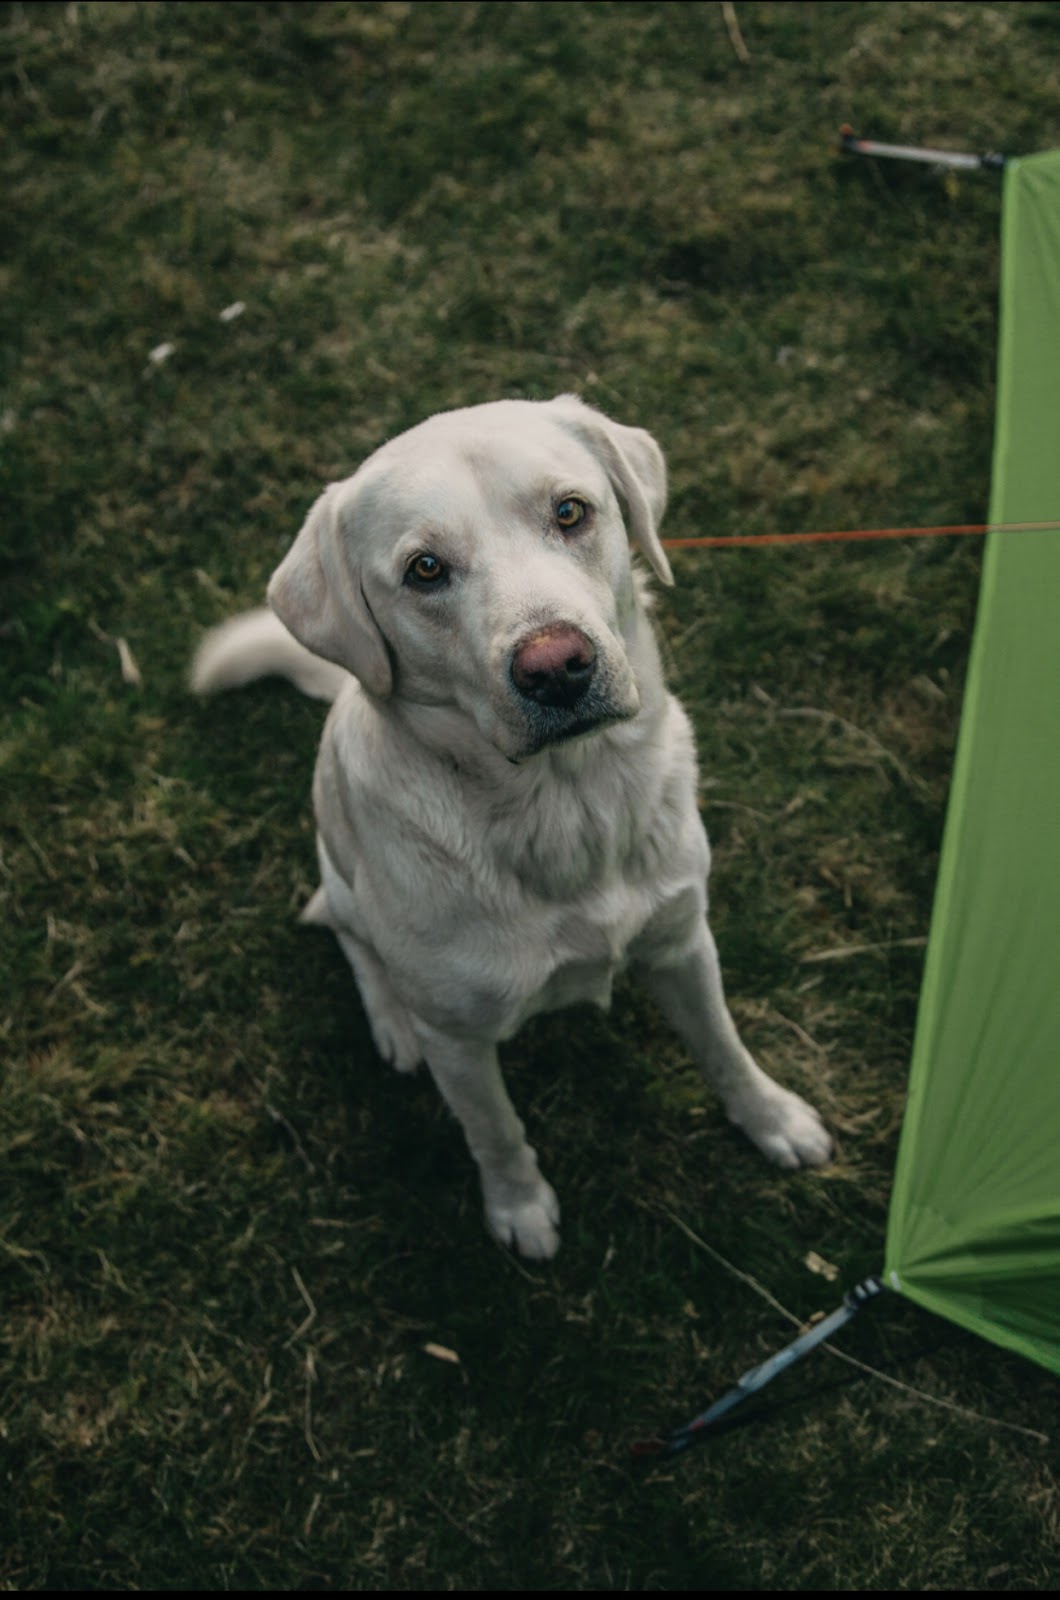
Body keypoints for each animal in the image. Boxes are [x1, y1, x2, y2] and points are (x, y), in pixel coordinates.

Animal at [192, 393, 839, 1254]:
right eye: (425, 569)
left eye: (570, 512)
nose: (556, 667)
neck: (567, 804)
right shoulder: (460, 1043)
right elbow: (494, 1130)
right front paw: (520, 1208)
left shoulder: (681, 942)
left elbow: (724, 1047)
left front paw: (773, 1122)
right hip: (343, 881)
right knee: (343, 929)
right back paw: (391, 1021)